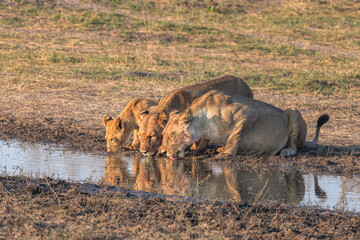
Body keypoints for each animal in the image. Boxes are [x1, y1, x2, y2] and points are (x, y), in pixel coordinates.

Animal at [160, 90, 330, 159]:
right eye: (163, 135)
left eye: (170, 135)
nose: (161, 152)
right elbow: (204, 141)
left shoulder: (248, 112)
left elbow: (235, 135)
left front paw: (227, 153)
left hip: (293, 112)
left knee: (294, 145)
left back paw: (287, 151)